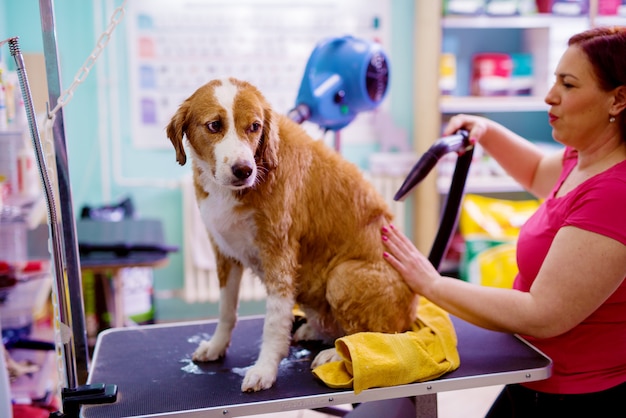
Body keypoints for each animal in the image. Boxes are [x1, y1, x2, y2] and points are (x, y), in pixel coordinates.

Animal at [166, 77, 420, 392]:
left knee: (382, 338)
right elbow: (226, 310)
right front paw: (216, 346)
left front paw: (265, 369)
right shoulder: (224, 253)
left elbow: (274, 322)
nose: (243, 170)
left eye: (254, 126)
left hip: (343, 276)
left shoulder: (279, 254)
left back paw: (335, 353)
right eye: (214, 125)